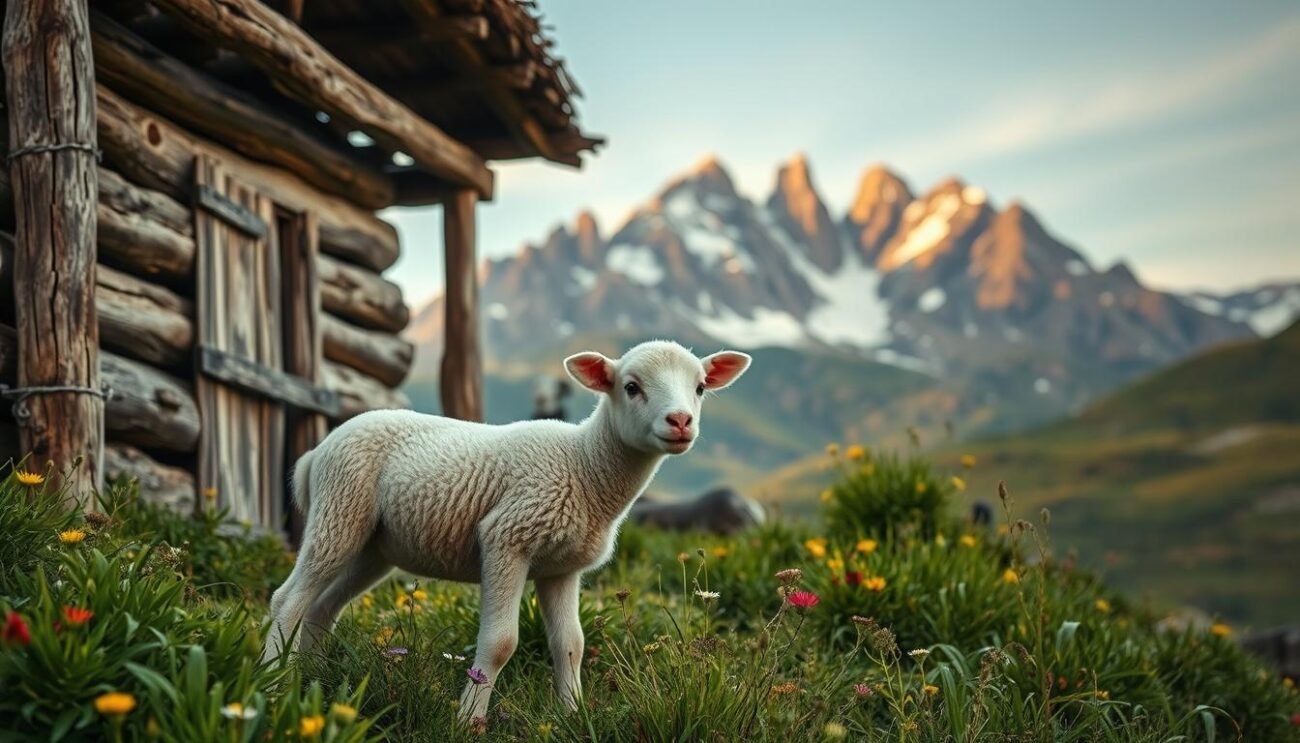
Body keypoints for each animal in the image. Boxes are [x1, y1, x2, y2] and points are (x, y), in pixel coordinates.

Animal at [262, 340, 752, 724]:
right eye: (631, 387)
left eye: (701, 388)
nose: (681, 422)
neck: (585, 467)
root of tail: (318, 451)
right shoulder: (507, 537)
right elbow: (500, 643)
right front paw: (468, 720)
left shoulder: (561, 569)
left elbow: (571, 644)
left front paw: (572, 715)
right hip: (339, 509)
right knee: (288, 599)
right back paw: (273, 680)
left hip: (372, 547)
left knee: (322, 607)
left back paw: (312, 678)